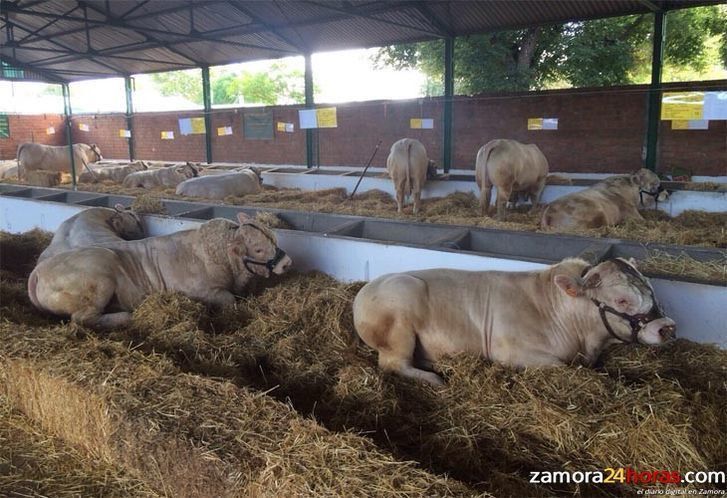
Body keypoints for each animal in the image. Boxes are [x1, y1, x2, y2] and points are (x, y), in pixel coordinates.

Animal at [29, 212, 290, 328]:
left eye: (274, 237)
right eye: (258, 249)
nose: (286, 262)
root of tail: (39, 271)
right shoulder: (202, 291)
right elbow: (229, 300)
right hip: (99, 282)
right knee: (82, 318)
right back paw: (125, 317)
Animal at [352, 256, 676, 386]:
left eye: (651, 288)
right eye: (621, 300)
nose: (667, 327)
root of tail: (364, 291)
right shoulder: (511, 351)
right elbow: (564, 367)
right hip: (399, 327)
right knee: (394, 364)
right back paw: (436, 379)